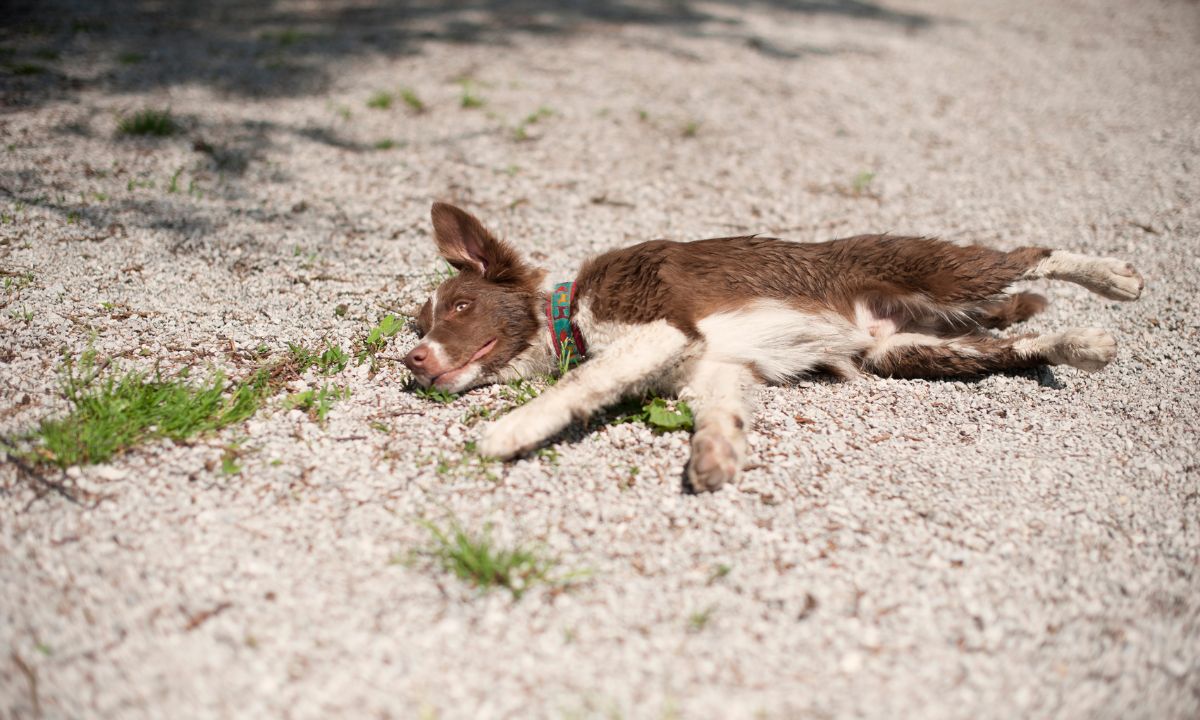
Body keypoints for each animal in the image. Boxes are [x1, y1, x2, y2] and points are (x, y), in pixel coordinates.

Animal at [403, 205, 1142, 492]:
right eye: (419, 326)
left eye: (461, 307)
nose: (412, 362)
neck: (571, 314)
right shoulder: (713, 370)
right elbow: (718, 417)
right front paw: (716, 457)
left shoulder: (662, 327)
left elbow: (579, 383)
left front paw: (510, 431)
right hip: (911, 353)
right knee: (1016, 344)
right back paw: (1086, 343)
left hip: (939, 271)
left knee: (1031, 256)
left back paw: (1116, 279)